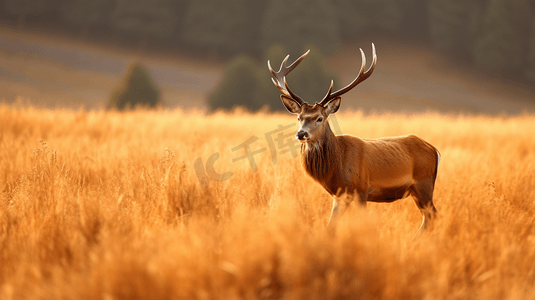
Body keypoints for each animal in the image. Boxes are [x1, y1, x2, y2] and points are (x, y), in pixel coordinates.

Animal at [268, 43, 440, 234]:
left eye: (319, 118)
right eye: (299, 117)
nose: (301, 134)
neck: (337, 164)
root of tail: (434, 150)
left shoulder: (361, 189)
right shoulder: (340, 195)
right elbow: (330, 225)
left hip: (423, 183)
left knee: (432, 215)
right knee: (429, 217)